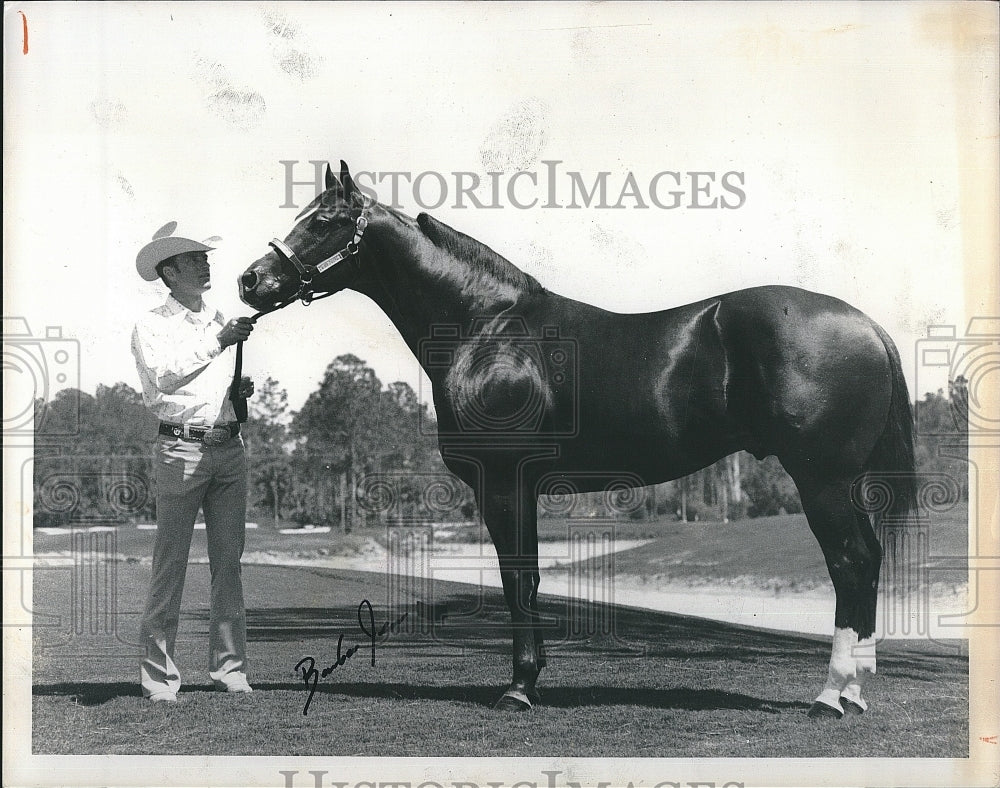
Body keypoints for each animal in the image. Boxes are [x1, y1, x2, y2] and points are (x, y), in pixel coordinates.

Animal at [240, 162, 916, 720]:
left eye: (323, 221)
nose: (251, 280)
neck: (486, 329)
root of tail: (867, 325)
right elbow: (528, 577)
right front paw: (530, 679)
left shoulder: (504, 483)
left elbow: (517, 579)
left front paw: (519, 689)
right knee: (867, 561)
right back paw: (852, 694)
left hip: (821, 478)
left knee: (851, 562)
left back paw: (831, 696)